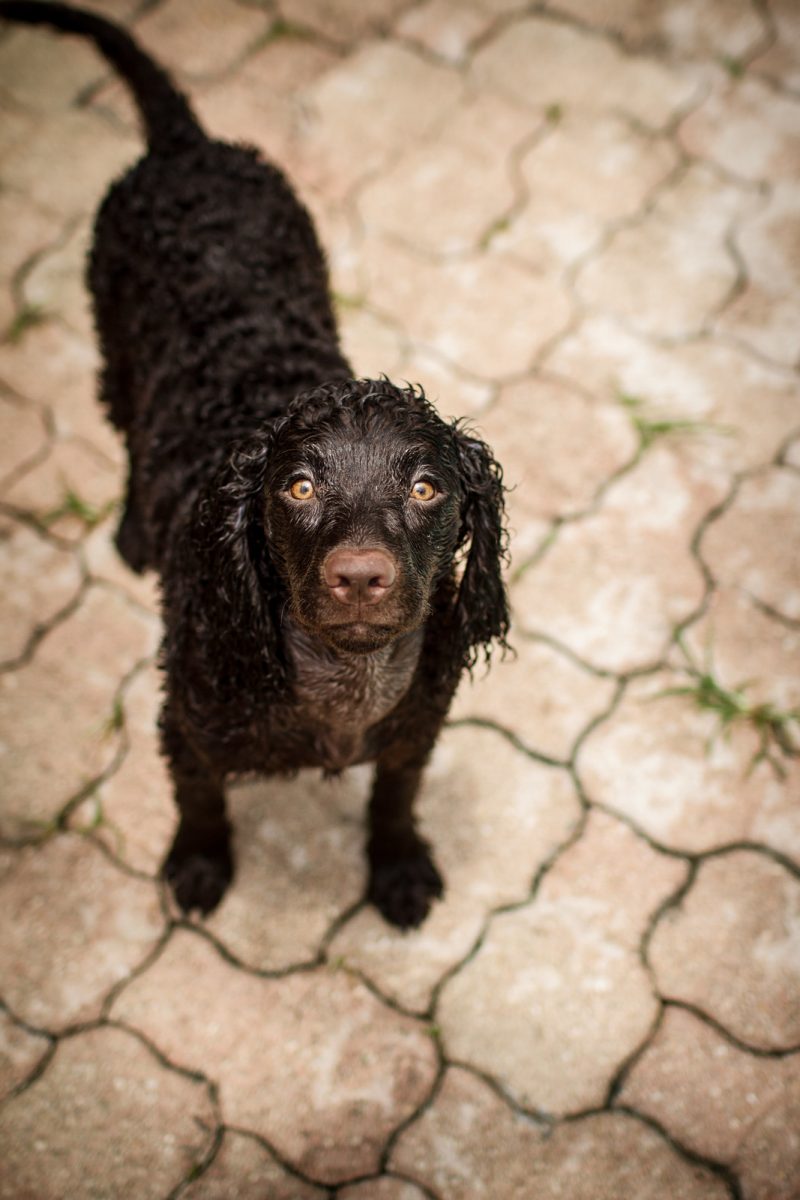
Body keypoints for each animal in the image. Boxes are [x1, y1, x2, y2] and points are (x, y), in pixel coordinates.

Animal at [0, 0, 510, 926]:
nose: (359, 576)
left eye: (426, 487)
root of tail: (188, 146)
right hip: (113, 347)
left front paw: (397, 867)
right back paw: (132, 530)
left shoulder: (417, 729)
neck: (343, 683)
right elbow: (201, 799)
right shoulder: (185, 725)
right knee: (124, 431)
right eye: (298, 486)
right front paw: (200, 866)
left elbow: (395, 798)